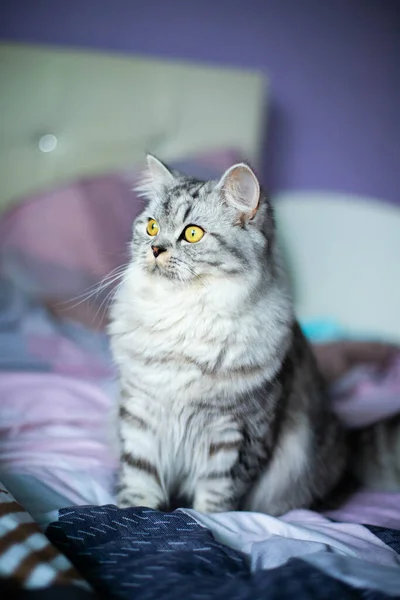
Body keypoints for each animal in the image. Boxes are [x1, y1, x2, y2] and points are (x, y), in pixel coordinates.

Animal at [108, 156, 346, 516]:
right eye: (151, 227)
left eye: (192, 233)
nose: (155, 249)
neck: (183, 319)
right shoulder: (141, 411)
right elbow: (139, 479)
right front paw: (133, 513)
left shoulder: (236, 433)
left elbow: (217, 497)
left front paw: (208, 521)